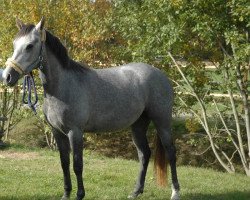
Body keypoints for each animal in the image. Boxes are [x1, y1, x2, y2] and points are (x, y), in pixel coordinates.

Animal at [2, 17, 179, 200]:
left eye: (29, 45)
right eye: (14, 44)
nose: (7, 76)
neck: (63, 86)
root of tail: (161, 74)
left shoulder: (75, 132)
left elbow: (77, 164)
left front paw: (80, 194)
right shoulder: (57, 133)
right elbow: (64, 163)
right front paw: (66, 194)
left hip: (162, 122)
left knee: (171, 153)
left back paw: (175, 192)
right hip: (138, 125)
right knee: (144, 155)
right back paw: (136, 192)